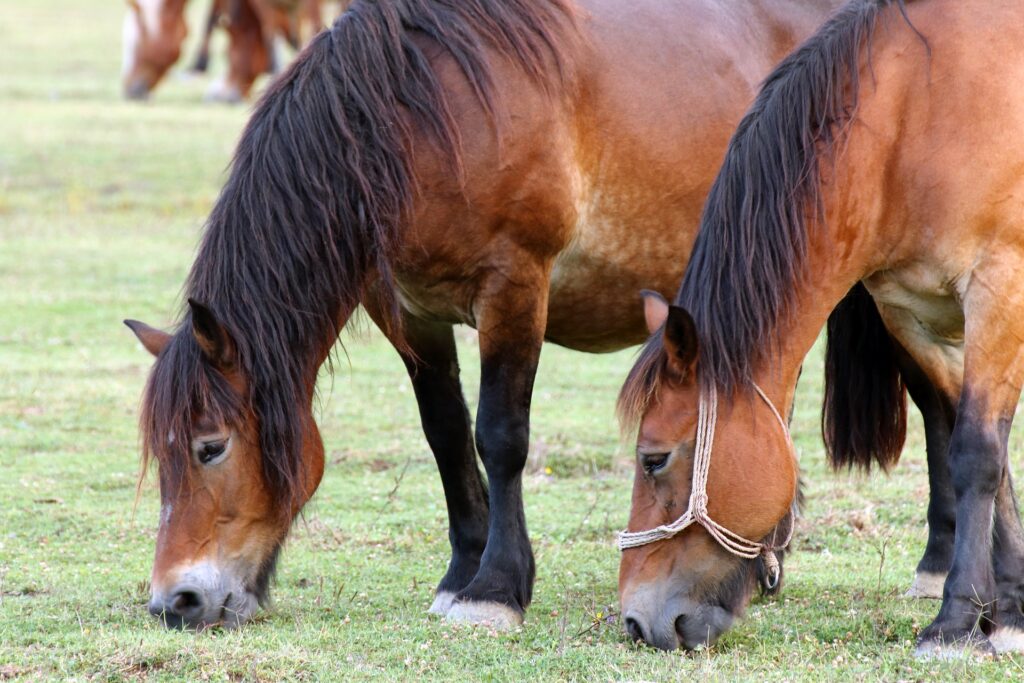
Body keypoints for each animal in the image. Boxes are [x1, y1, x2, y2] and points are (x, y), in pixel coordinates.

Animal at [121, 0, 950, 634]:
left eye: (210, 447)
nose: (176, 600)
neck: (417, 114)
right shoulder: (409, 313)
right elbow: (447, 436)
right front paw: (461, 570)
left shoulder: (513, 286)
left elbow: (501, 435)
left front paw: (495, 589)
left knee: (939, 401)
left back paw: (938, 566)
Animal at [618, 0, 1024, 655]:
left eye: (653, 459)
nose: (634, 620)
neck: (913, 119)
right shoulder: (913, 315)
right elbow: (995, 461)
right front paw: (1010, 612)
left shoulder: (998, 292)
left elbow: (976, 455)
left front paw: (957, 618)